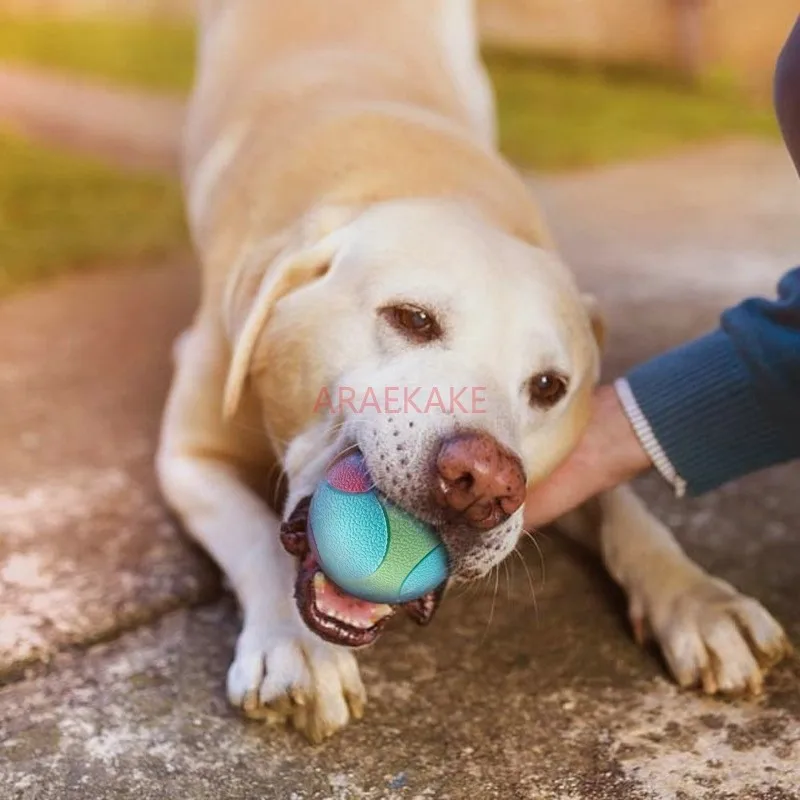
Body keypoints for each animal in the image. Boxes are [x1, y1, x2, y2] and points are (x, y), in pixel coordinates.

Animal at [155, 0, 788, 744]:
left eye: (549, 387)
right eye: (411, 318)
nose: (484, 481)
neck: (422, 175)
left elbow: (626, 509)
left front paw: (699, 598)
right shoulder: (188, 455)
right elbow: (255, 537)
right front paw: (294, 645)